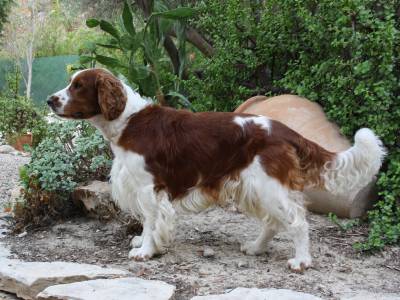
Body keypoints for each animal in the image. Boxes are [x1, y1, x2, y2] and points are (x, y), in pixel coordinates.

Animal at [47, 68, 388, 272]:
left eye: (78, 86)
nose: (50, 100)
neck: (129, 122)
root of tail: (283, 129)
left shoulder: (148, 187)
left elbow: (151, 220)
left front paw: (145, 250)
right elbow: (148, 221)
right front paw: (145, 242)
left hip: (267, 186)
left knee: (297, 222)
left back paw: (301, 261)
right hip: (256, 188)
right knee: (274, 222)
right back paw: (255, 248)